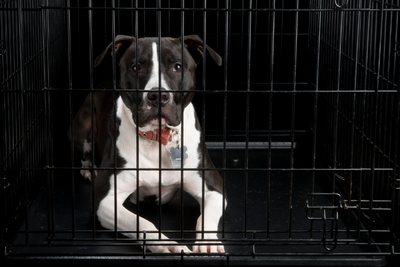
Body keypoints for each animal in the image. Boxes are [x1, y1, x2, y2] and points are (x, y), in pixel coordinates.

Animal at [69, 34, 225, 254]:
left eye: (177, 66)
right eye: (136, 66)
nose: (158, 95)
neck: (157, 138)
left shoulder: (213, 187)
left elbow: (206, 216)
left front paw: (207, 242)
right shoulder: (103, 201)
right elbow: (142, 223)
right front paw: (168, 246)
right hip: (83, 124)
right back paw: (89, 168)